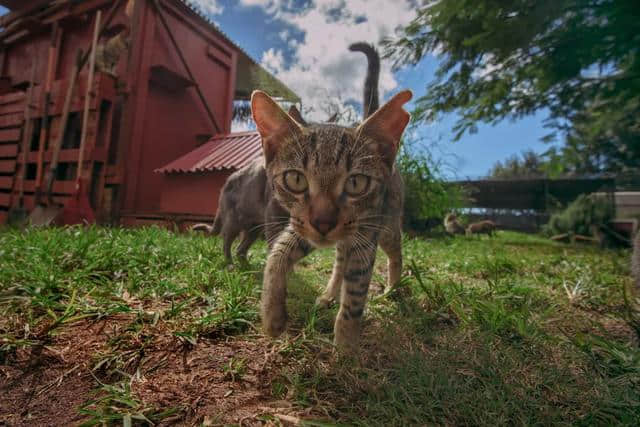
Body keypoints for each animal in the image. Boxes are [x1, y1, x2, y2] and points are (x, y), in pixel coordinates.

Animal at [250, 88, 410, 352]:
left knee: (396, 253)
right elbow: (277, 255)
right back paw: (329, 294)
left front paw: (346, 345)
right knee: (340, 262)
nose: (323, 223)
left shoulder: (366, 238)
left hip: (386, 226)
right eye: (295, 179)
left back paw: (393, 287)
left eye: (356, 183)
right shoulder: (301, 228)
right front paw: (272, 314)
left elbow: (355, 295)